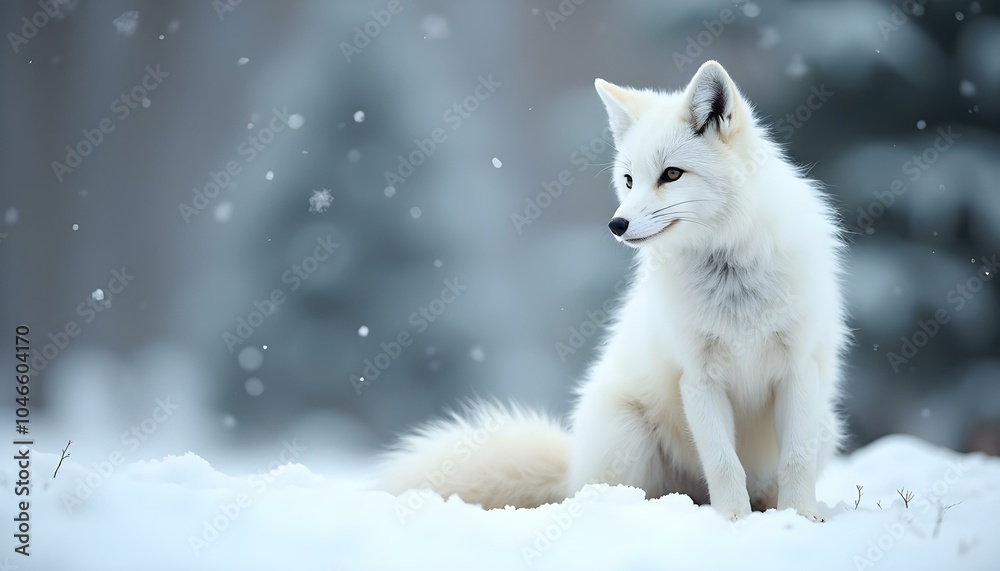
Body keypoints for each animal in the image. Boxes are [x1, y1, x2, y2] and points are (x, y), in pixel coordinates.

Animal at [378, 60, 849, 522]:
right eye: (628, 180)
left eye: (671, 174)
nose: (616, 225)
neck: (731, 278)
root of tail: (572, 469)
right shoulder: (698, 377)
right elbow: (723, 463)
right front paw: (733, 522)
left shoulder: (798, 368)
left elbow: (796, 460)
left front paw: (799, 518)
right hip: (630, 435)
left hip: (825, 422)